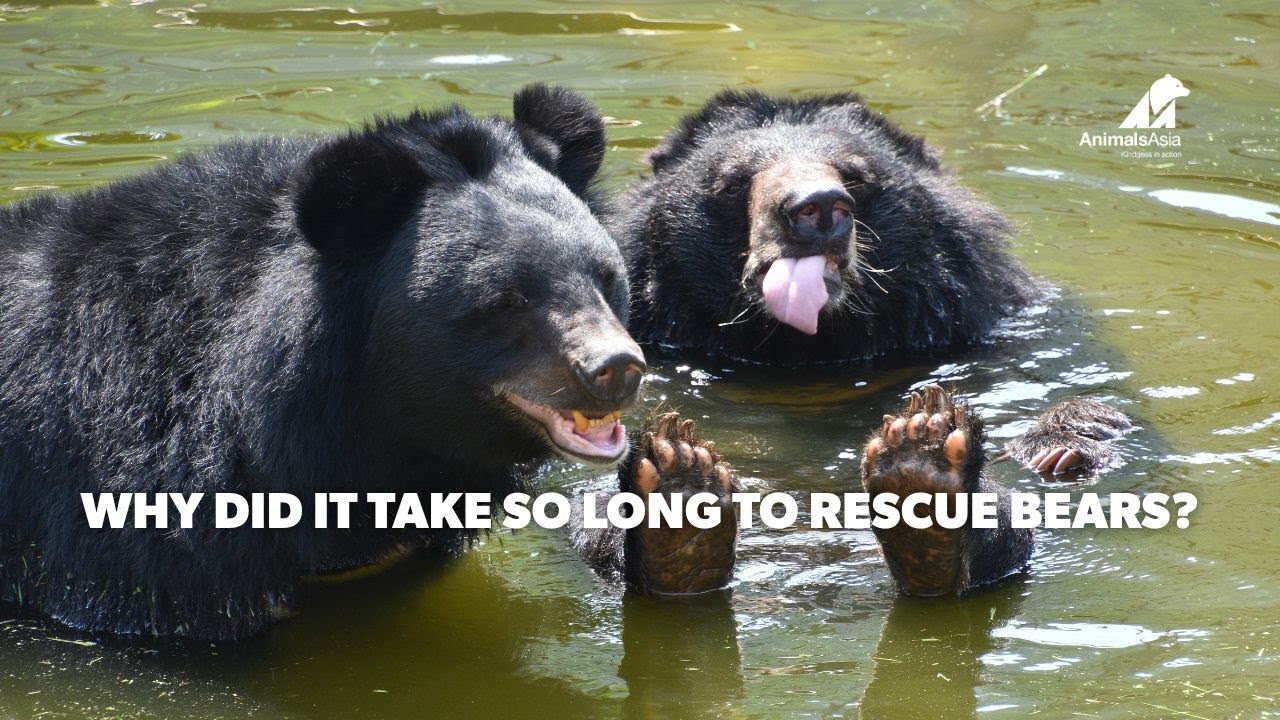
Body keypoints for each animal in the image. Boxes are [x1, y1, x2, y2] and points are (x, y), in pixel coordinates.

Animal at [604, 90, 1133, 596]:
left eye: (856, 177)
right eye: (733, 181)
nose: (817, 208)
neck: (804, 349)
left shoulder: (993, 319)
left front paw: (1061, 443)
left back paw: (924, 475)